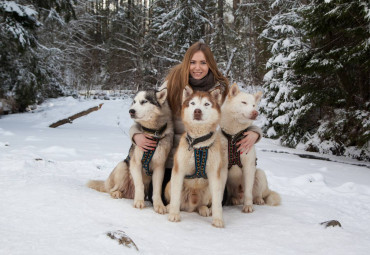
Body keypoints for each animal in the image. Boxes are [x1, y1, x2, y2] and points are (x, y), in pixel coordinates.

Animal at [166, 86, 227, 228]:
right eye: (192, 103)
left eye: (206, 104)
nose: (197, 111)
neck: (199, 144)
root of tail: (190, 206)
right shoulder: (178, 171)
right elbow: (175, 197)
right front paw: (174, 215)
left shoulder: (214, 174)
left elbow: (217, 202)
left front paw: (218, 219)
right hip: (169, 185)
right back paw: (169, 207)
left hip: (208, 190)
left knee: (202, 204)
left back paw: (203, 209)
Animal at [220, 84, 280, 213]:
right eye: (243, 102)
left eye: (253, 105)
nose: (255, 112)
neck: (234, 137)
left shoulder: (248, 167)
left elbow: (248, 192)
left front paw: (248, 206)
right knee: (233, 196)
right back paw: (232, 200)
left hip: (259, 174)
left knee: (257, 194)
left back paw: (258, 200)